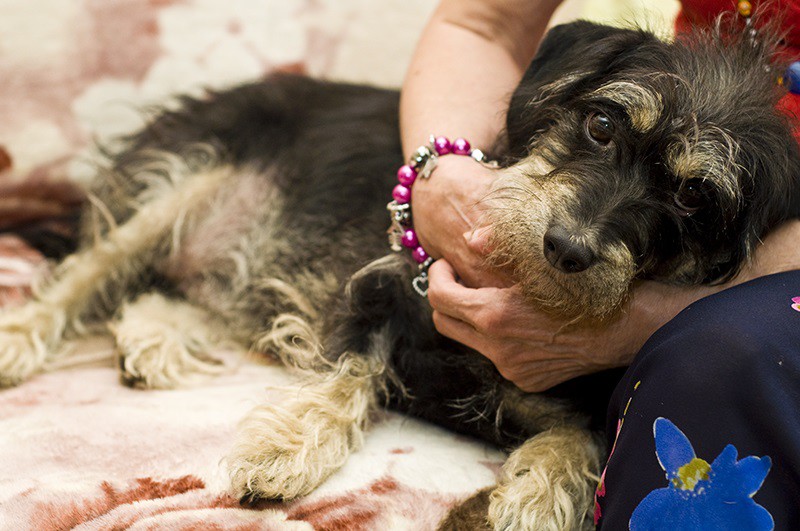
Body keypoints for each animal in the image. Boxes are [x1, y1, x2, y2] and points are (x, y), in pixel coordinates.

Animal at [1, 17, 800, 531]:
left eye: (694, 197)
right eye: (601, 125)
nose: (567, 248)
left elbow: (585, 441)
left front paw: (536, 498)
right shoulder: (382, 287)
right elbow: (343, 373)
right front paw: (281, 451)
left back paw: (154, 340)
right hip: (182, 182)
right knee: (89, 271)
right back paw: (20, 338)